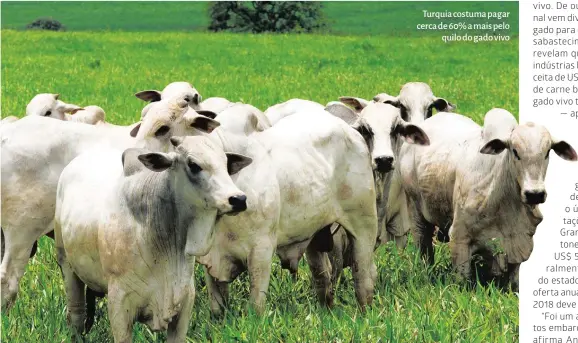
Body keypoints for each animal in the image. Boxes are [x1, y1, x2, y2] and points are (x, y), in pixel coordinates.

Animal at [54, 136, 250, 342]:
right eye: (193, 165)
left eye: (226, 164)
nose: (238, 199)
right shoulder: (119, 304)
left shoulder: (185, 302)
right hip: (66, 264)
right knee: (76, 315)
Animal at [198, 106, 378, 316]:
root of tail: (352, 131)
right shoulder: (212, 261)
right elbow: (217, 309)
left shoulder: (261, 251)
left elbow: (256, 306)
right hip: (316, 238)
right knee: (323, 279)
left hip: (364, 223)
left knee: (363, 277)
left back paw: (365, 312)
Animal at [398, 109, 572, 288]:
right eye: (515, 151)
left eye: (547, 152)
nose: (534, 194)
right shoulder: (460, 237)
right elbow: (462, 280)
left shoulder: (519, 242)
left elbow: (513, 279)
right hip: (414, 208)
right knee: (423, 243)